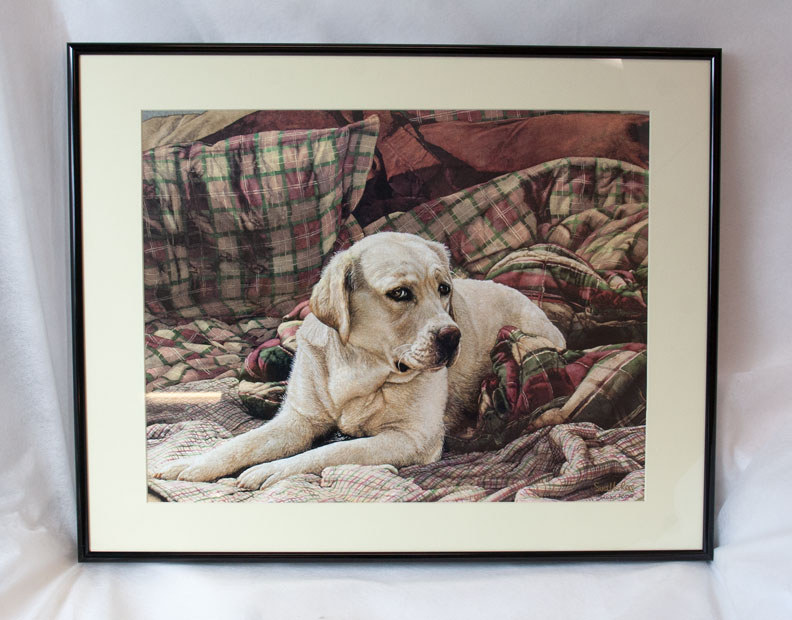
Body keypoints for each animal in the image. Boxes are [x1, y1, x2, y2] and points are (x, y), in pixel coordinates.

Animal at [152, 232, 565, 489]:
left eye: (444, 289)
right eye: (400, 293)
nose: (453, 337)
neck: (361, 368)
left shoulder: (411, 439)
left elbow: (334, 450)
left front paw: (271, 471)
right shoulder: (296, 422)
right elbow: (242, 444)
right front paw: (192, 465)